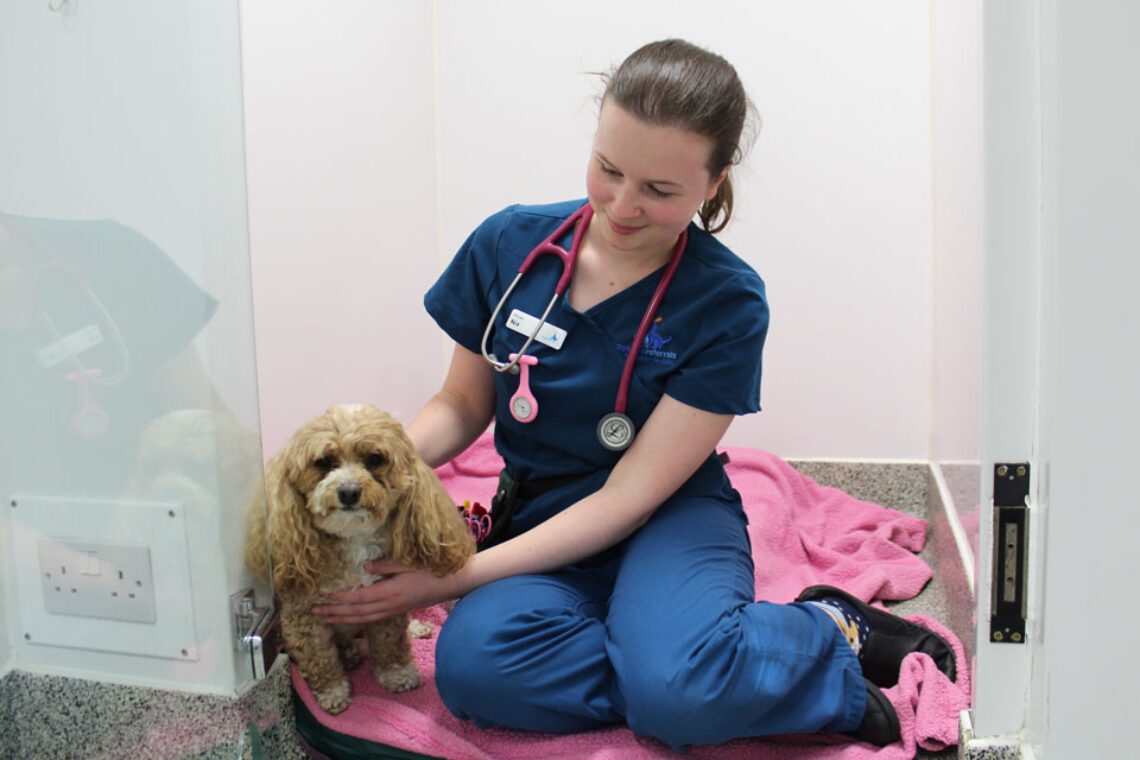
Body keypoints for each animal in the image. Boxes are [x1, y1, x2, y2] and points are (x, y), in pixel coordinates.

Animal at [245, 403, 471, 715]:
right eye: (324, 462)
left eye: (374, 459)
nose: (349, 491)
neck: (354, 539)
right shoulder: (303, 616)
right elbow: (320, 657)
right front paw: (333, 692)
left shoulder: (387, 605)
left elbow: (390, 643)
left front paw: (397, 674)